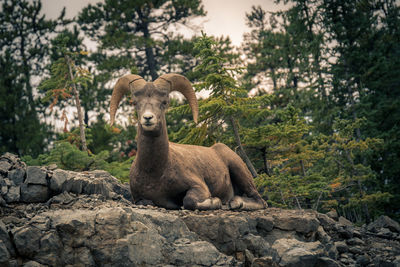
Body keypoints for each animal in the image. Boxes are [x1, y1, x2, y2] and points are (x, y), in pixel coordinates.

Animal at [110, 74, 266, 211]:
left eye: (164, 102)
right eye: (135, 103)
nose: (148, 118)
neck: (155, 171)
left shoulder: (199, 187)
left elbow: (189, 201)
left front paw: (215, 201)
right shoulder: (138, 198)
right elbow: (146, 202)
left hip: (239, 170)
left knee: (260, 200)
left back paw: (236, 203)